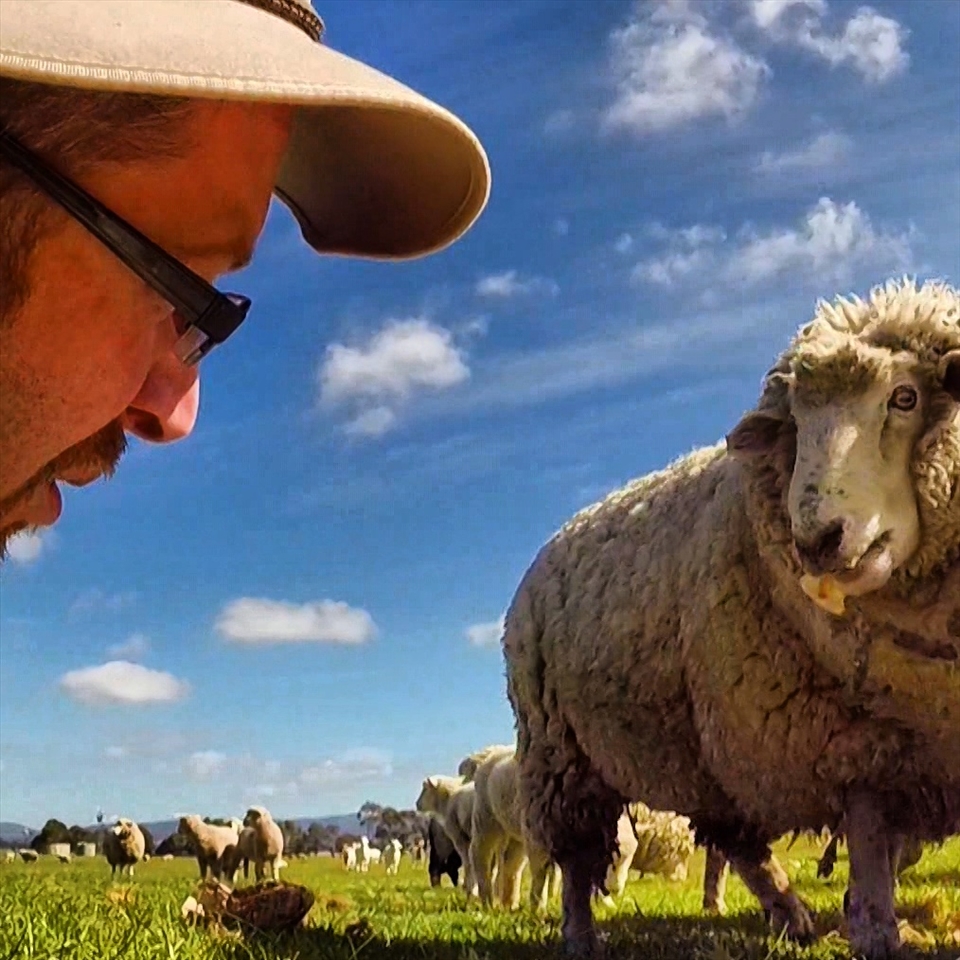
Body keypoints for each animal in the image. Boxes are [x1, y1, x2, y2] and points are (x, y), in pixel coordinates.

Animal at [501, 278, 960, 958]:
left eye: (905, 397)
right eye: (796, 424)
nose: (817, 540)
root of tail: (553, 540)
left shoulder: (911, 746)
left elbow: (886, 847)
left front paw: (871, 916)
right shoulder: (850, 741)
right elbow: (872, 840)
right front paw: (877, 931)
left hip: (701, 753)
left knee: (735, 840)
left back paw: (791, 914)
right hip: (562, 753)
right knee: (580, 861)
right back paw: (583, 938)